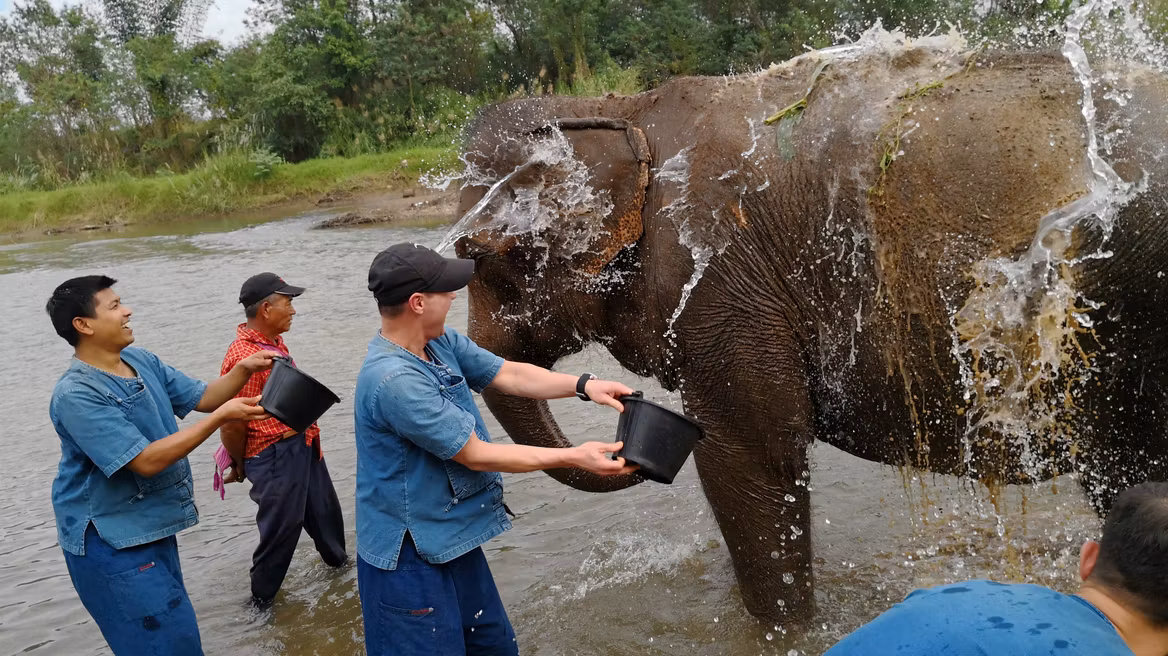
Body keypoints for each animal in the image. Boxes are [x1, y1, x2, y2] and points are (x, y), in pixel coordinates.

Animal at [447, 42, 1168, 624]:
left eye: (480, 255)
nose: (629, 445)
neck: (622, 108)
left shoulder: (723, 280)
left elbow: (749, 453)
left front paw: (786, 631)